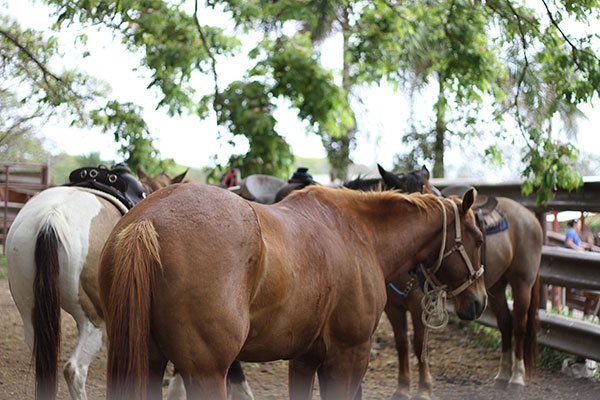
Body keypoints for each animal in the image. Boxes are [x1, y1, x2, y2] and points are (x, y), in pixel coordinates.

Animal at [98, 183, 486, 398]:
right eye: (480, 239)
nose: (479, 302)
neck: (358, 233)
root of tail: (146, 221)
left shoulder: (305, 358)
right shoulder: (349, 355)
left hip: (149, 362)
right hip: (206, 374)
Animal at [370, 167, 544, 398]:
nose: (419, 273)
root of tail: (529, 216)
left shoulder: (419, 304)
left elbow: (418, 344)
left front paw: (424, 389)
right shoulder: (393, 307)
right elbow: (402, 344)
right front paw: (402, 388)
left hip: (522, 283)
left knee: (519, 326)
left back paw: (516, 377)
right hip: (496, 287)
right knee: (505, 323)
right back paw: (502, 376)